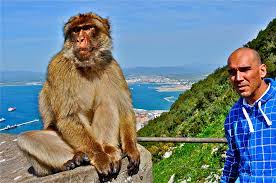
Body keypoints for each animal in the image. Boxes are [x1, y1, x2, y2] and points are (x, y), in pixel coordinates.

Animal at [17, 12, 140, 182]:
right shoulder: (60, 67)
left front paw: (131, 148)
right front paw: (100, 157)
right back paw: (76, 160)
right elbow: (68, 116)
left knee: (108, 103)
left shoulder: (113, 67)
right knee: (26, 139)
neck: (88, 66)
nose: (79, 39)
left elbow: (124, 108)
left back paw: (109, 150)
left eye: (87, 28)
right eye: (76, 30)